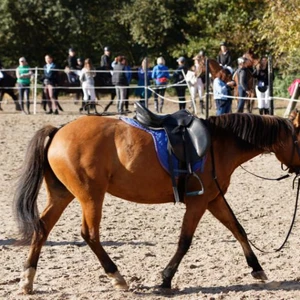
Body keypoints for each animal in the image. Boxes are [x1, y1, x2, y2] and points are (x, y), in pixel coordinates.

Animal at [14, 109, 300, 292]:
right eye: (299, 140)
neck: (217, 144)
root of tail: (59, 130)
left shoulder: (214, 199)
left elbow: (238, 229)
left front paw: (257, 268)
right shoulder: (198, 203)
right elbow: (185, 241)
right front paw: (166, 278)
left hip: (62, 195)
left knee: (42, 229)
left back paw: (28, 279)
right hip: (91, 196)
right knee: (90, 234)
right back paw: (117, 277)